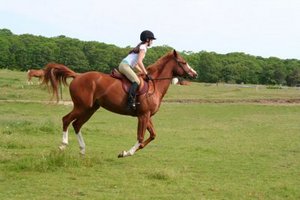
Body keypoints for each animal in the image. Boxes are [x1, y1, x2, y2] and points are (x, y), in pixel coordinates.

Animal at [41, 50, 197, 158]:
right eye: (183, 62)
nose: (194, 74)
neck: (155, 85)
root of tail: (78, 76)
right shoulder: (143, 115)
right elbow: (140, 137)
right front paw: (126, 153)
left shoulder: (146, 115)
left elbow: (152, 135)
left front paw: (128, 151)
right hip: (81, 107)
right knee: (66, 120)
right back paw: (63, 145)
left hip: (90, 109)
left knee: (77, 124)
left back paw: (82, 150)